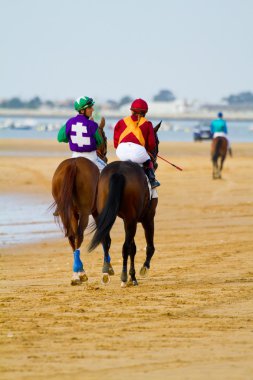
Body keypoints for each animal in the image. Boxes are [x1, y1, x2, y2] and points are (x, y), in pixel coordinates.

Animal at [51, 119, 113, 284]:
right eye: (105, 137)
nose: (105, 157)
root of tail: (74, 164)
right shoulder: (98, 213)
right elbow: (104, 237)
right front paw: (107, 269)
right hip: (84, 212)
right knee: (79, 235)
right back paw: (80, 272)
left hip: (68, 212)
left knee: (71, 236)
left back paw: (77, 272)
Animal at [88, 121, 161, 288]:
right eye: (157, 142)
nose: (155, 163)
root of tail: (118, 172)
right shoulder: (148, 217)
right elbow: (149, 247)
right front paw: (141, 270)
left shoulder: (129, 219)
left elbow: (132, 248)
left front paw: (132, 275)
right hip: (132, 220)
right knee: (125, 246)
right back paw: (123, 276)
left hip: (110, 216)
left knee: (106, 240)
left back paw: (106, 272)